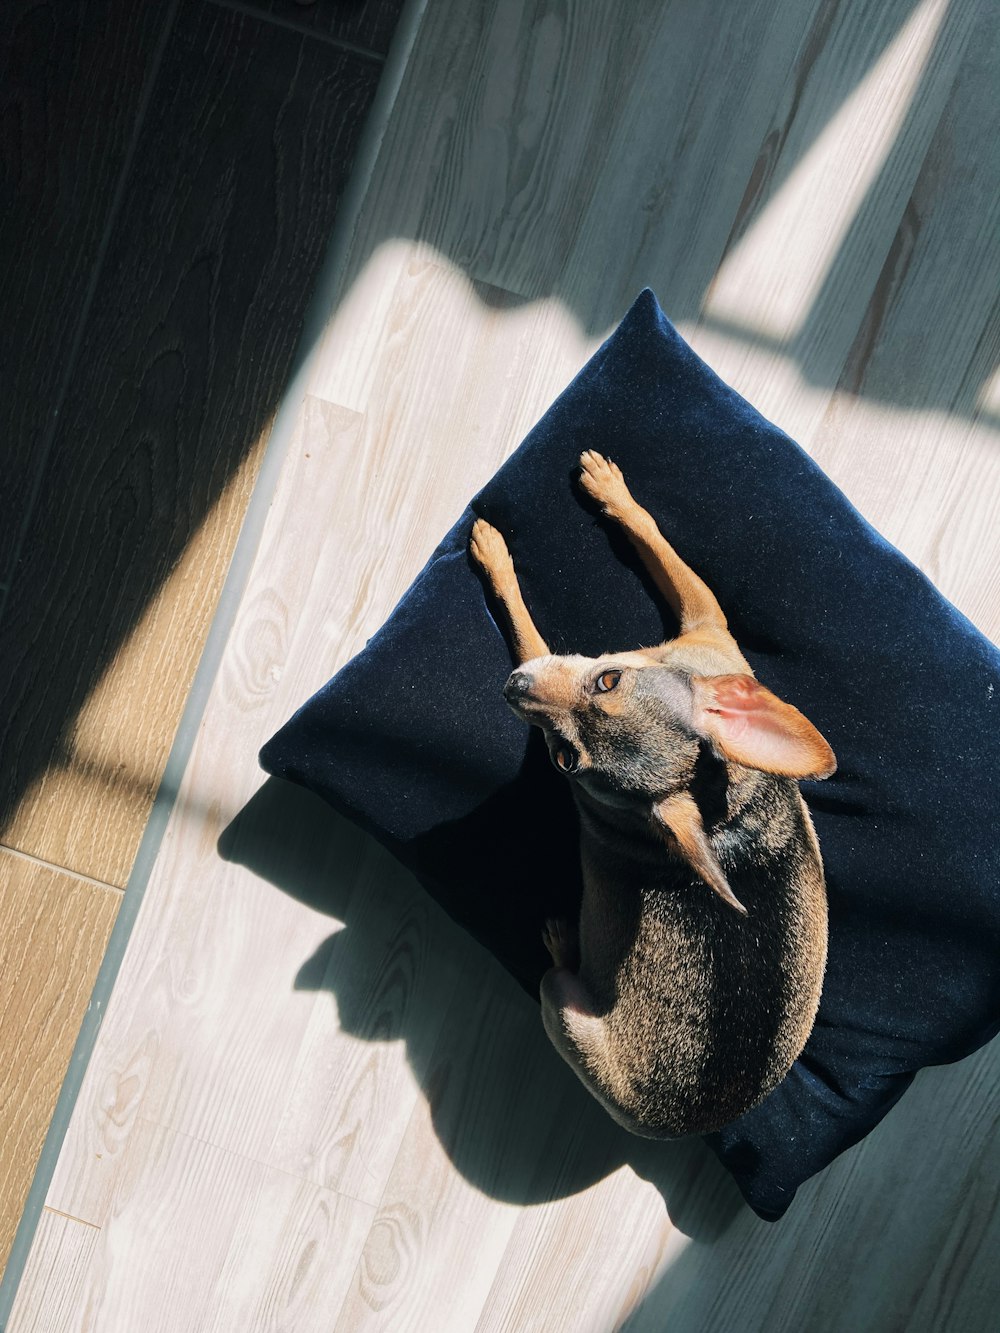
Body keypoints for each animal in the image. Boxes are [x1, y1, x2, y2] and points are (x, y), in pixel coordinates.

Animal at [469, 453, 837, 1141]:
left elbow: (530, 625)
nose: (512, 688)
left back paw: (564, 943)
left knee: (557, 980)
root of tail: (686, 1125)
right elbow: (656, 540)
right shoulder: (706, 623)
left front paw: (496, 550)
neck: (718, 800)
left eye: (608, 681)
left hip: (559, 1005)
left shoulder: (696, 623)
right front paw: (611, 490)